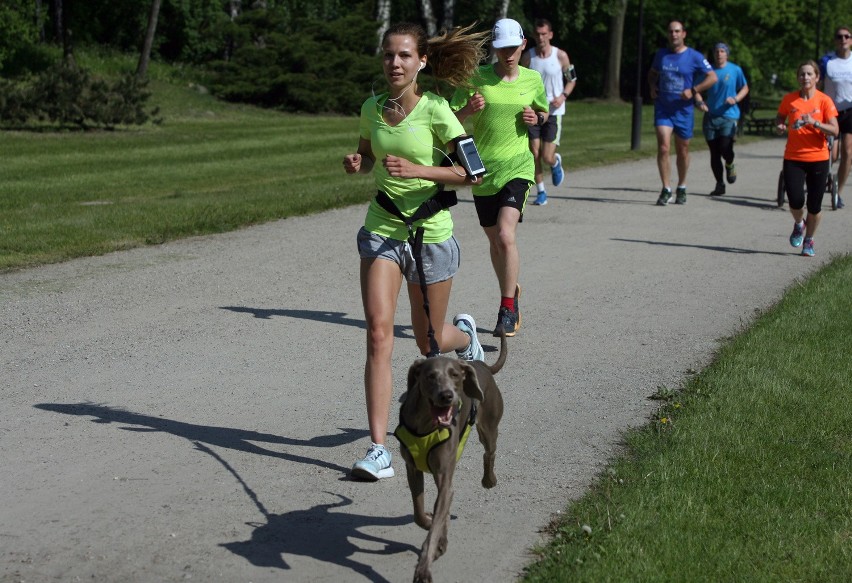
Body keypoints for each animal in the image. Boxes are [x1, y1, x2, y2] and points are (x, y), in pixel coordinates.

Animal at [394, 334, 506, 583]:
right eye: (430, 376)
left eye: (455, 375)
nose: (446, 396)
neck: (426, 424)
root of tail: (480, 365)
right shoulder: (413, 468)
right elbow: (420, 513)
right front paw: (428, 523)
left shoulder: (444, 475)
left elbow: (437, 521)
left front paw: (424, 568)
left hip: (488, 426)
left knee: (490, 451)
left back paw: (489, 479)